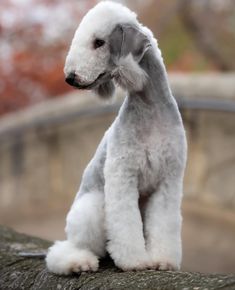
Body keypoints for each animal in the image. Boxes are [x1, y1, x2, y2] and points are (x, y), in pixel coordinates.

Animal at [45, 1, 186, 274]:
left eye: (99, 42)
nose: (70, 77)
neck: (150, 107)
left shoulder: (168, 180)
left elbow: (163, 223)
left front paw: (162, 260)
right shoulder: (123, 176)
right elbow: (125, 224)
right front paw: (135, 262)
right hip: (91, 207)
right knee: (66, 248)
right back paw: (79, 263)